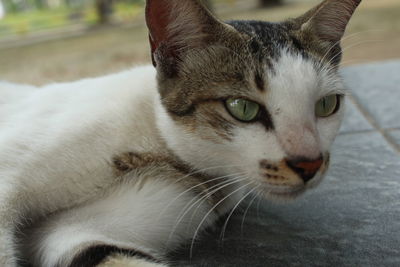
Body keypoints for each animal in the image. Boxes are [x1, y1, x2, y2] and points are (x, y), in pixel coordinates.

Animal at [0, 0, 360, 266]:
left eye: (327, 104)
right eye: (241, 107)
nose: (309, 163)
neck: (155, 145)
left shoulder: (76, 228)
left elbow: (101, 250)